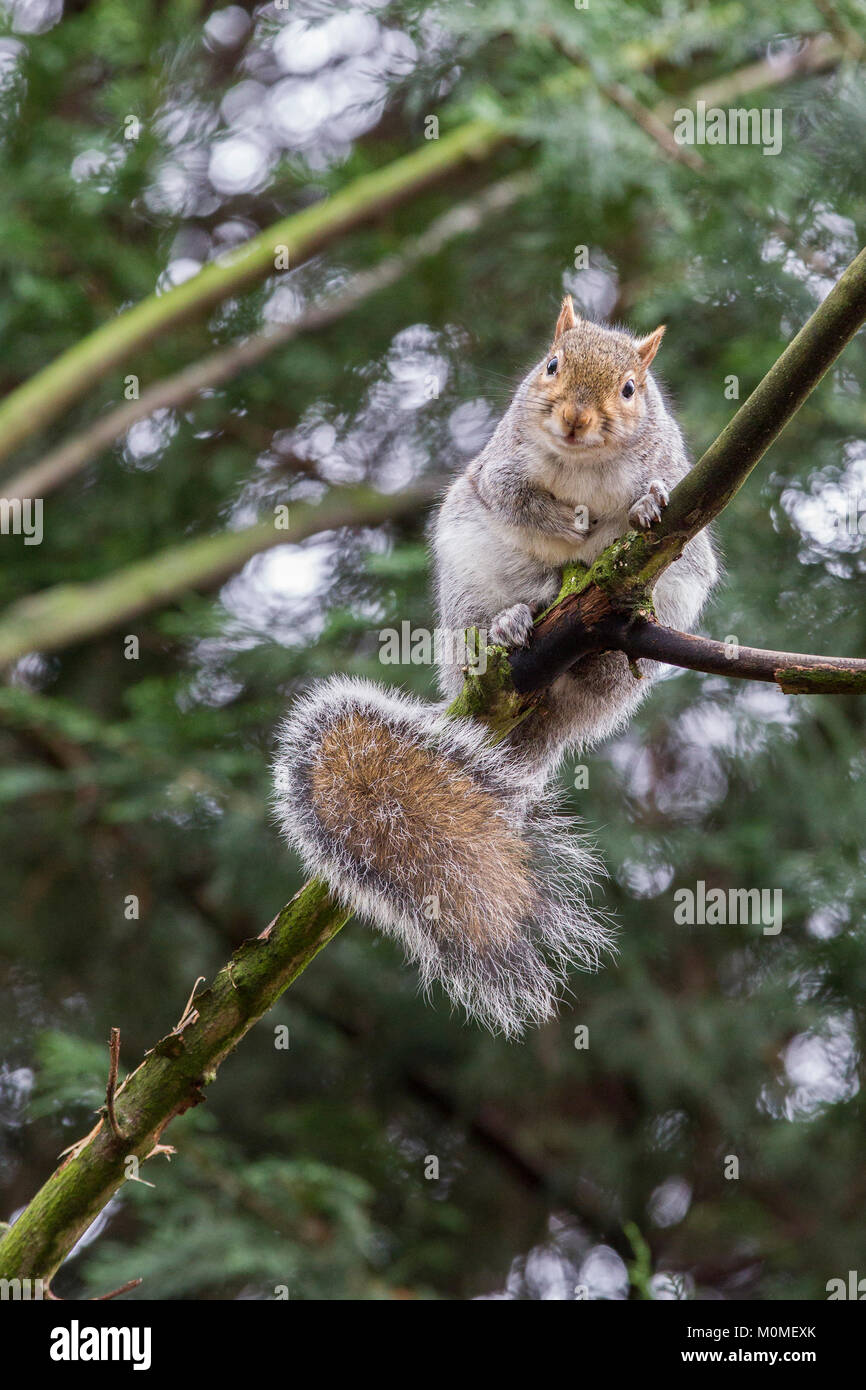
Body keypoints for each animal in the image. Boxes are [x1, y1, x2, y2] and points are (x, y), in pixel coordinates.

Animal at [276, 296, 717, 1034]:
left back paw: (603, 665)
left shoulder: (672, 473)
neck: (583, 463)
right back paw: (513, 623)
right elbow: (515, 497)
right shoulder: (497, 467)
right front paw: (563, 520)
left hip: (660, 615)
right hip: (470, 582)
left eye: (631, 390)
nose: (574, 418)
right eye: (552, 364)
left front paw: (645, 503)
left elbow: (655, 499)